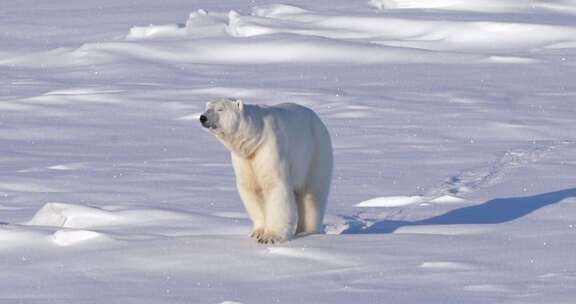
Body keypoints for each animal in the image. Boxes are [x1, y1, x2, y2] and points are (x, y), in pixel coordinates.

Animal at [200, 98, 332, 243]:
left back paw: (308, 231)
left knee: (312, 193)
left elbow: (274, 185)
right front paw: (257, 232)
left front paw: (270, 237)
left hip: (315, 152)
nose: (203, 118)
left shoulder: (268, 147)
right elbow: (252, 189)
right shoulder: (245, 159)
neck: (255, 137)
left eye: (220, 109)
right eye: (207, 108)